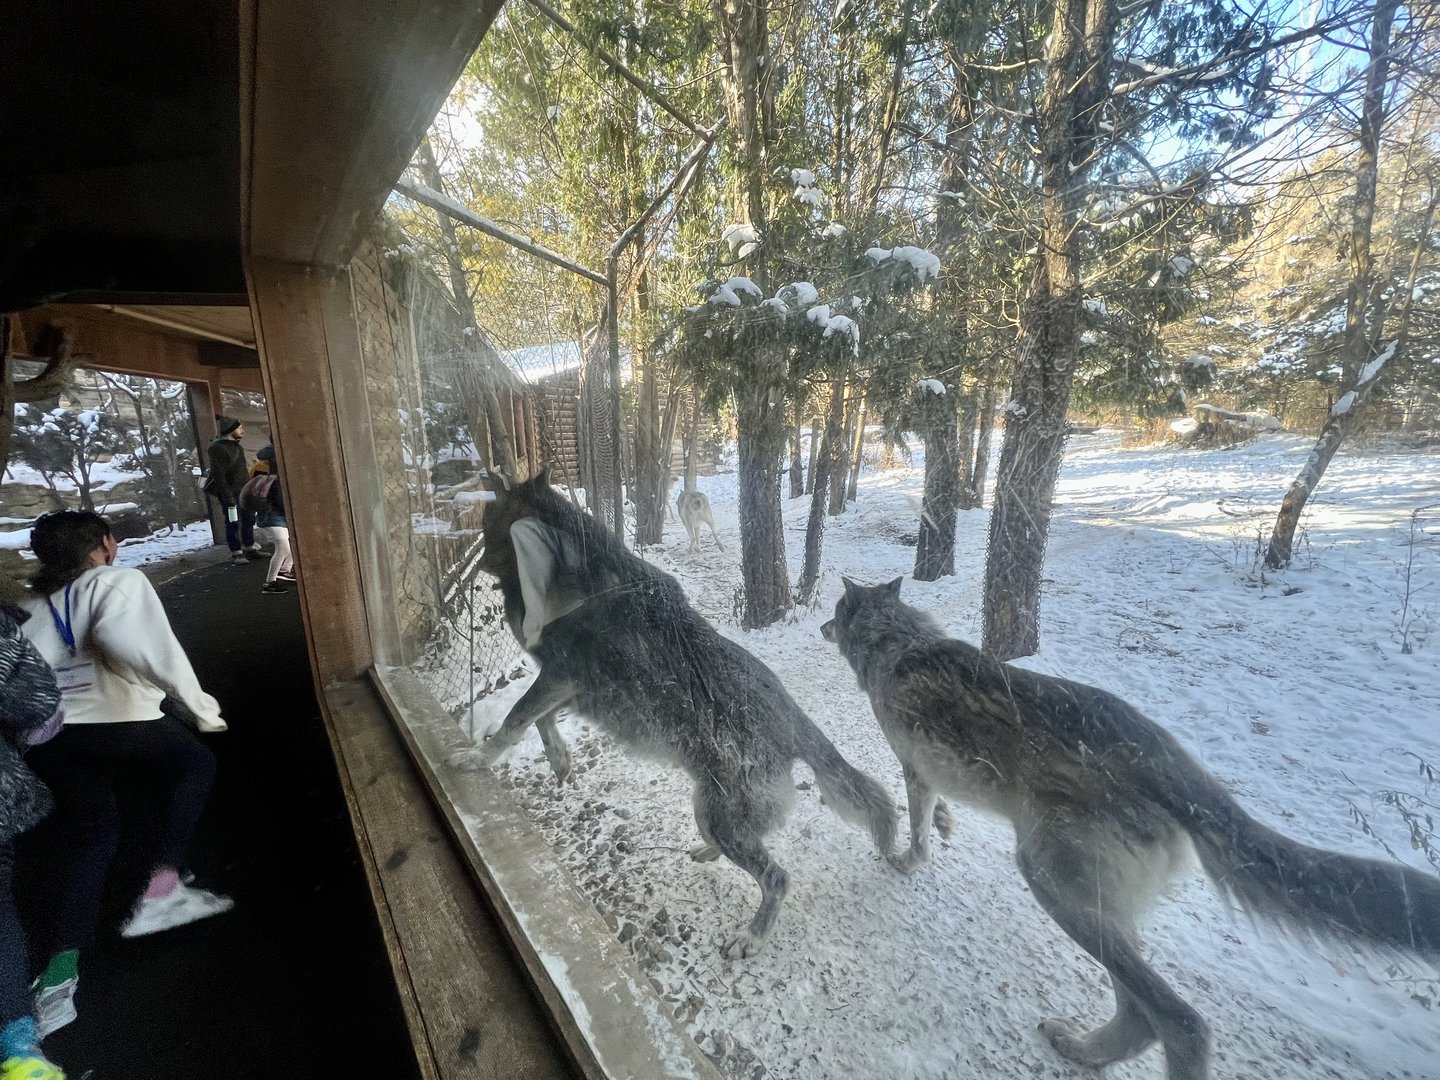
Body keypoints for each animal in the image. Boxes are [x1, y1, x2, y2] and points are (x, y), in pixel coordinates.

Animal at [474, 472, 897, 958]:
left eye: (486, 524)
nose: (478, 564)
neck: (583, 583)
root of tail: (796, 721)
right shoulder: (578, 692)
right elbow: (538, 721)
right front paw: (560, 762)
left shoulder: (560, 677)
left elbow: (512, 722)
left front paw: (469, 759)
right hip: (709, 812)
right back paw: (707, 854)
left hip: (719, 818)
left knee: (776, 877)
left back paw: (750, 938)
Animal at [822, 577, 1440, 1080]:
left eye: (833, 608)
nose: (822, 625)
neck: (894, 639)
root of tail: (1168, 758)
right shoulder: (932, 775)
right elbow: (939, 815)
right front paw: (947, 826)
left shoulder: (913, 770)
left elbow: (917, 829)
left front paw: (907, 860)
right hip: (1101, 908)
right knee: (1142, 1012)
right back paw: (1083, 1050)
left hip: (1051, 884)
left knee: (1179, 1019)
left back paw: (1092, 1047)